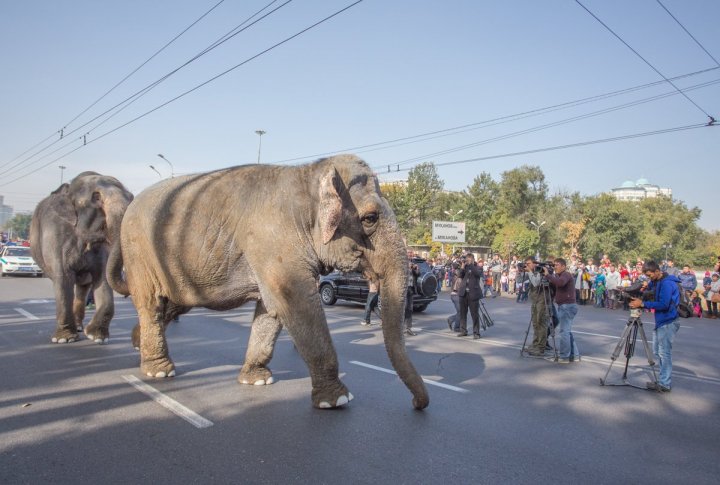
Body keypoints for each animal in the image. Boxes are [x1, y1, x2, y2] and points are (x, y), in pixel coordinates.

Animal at [30, 172, 134, 342]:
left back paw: (79, 327)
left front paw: (97, 337)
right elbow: (63, 278)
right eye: (96, 197)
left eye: (131, 197)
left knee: (83, 287)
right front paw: (64, 339)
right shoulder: (55, 235)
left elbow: (102, 277)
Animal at [107, 152, 430, 408]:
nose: (418, 405)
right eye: (370, 218)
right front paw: (337, 400)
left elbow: (271, 311)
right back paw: (159, 371)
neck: (309, 174)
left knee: (171, 304)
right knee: (152, 302)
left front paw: (257, 381)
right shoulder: (274, 243)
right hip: (140, 254)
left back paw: (138, 344)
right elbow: (297, 304)